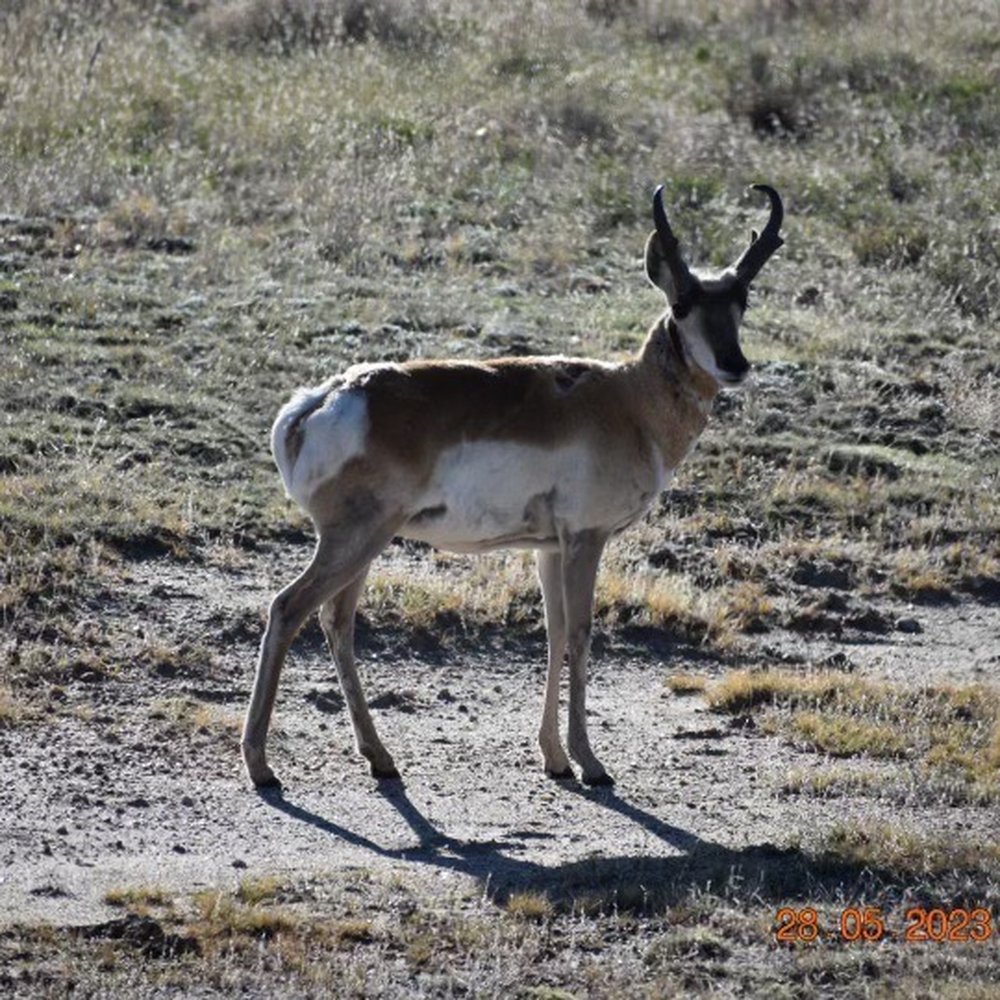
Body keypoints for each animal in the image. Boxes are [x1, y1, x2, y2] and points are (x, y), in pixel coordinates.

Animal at [242, 183, 784, 789]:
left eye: (741, 302)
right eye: (681, 304)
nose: (735, 363)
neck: (625, 398)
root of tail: (320, 402)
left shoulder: (550, 548)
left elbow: (554, 636)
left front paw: (555, 758)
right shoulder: (586, 540)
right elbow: (581, 633)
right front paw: (591, 763)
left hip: (362, 546)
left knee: (336, 621)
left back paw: (379, 757)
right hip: (355, 541)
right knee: (288, 609)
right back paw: (262, 766)